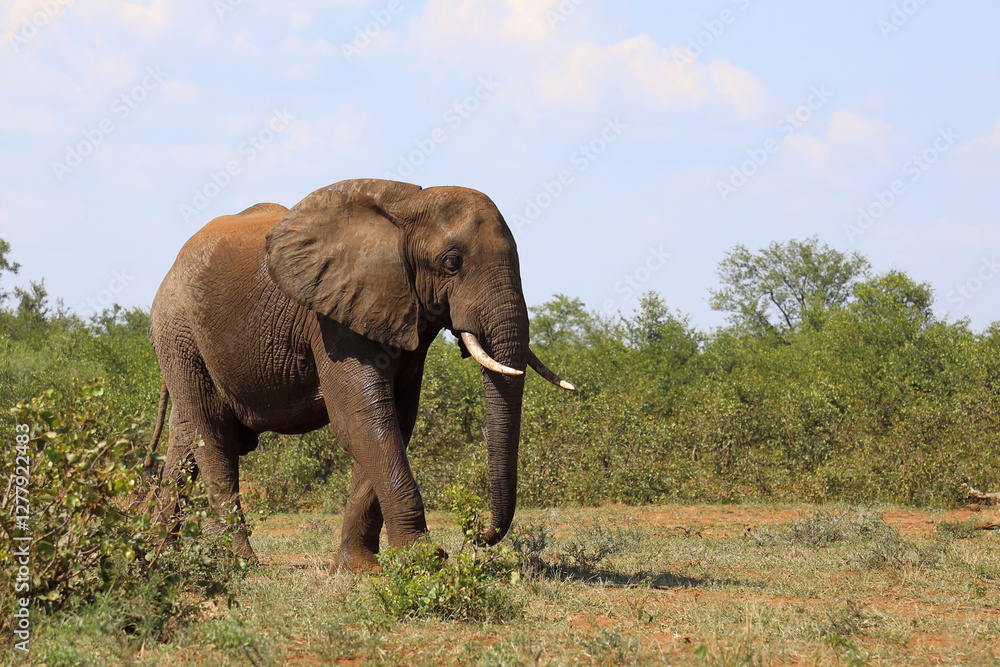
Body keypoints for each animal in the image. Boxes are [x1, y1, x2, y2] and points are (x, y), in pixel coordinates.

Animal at [146, 178, 574, 571]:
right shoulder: (333, 319)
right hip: (180, 331)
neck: (405, 209)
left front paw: (359, 568)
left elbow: (395, 420)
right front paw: (425, 559)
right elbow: (361, 421)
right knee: (213, 435)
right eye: (452, 263)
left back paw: (156, 556)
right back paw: (239, 564)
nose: (475, 534)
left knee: (186, 440)